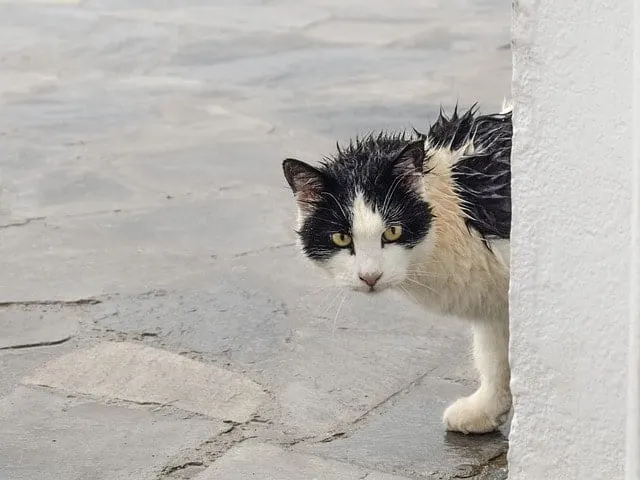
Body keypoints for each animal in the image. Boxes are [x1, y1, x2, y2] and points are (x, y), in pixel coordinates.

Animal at [282, 102, 512, 436]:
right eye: (341, 238)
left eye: (392, 232)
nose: (370, 277)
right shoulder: (494, 304)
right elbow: (494, 358)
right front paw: (486, 409)